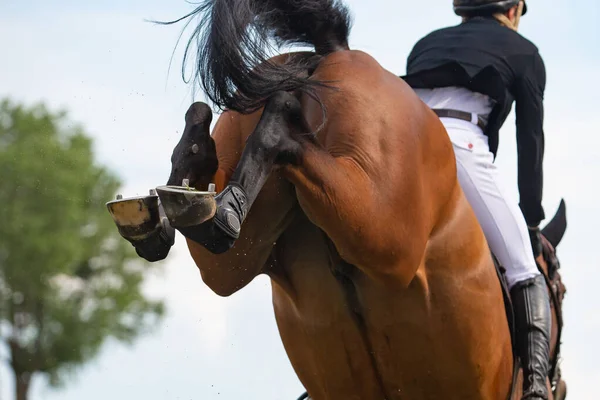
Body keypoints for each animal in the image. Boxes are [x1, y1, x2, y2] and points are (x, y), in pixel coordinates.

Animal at [136, 1, 568, 398]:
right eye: (561, 291)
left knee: (217, 227)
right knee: (287, 131)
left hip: (237, 256)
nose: (557, 386)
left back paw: (185, 205)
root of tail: (335, 51)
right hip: (383, 231)